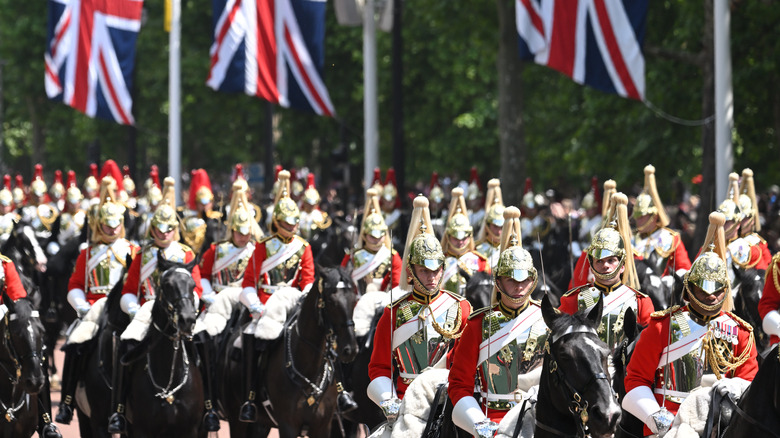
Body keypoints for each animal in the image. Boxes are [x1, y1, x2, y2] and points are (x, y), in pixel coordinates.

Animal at [221, 266, 358, 436]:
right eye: (331, 302)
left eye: (354, 300)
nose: (350, 349)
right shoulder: (287, 425)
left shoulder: (322, 426)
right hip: (236, 418)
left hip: (260, 424)